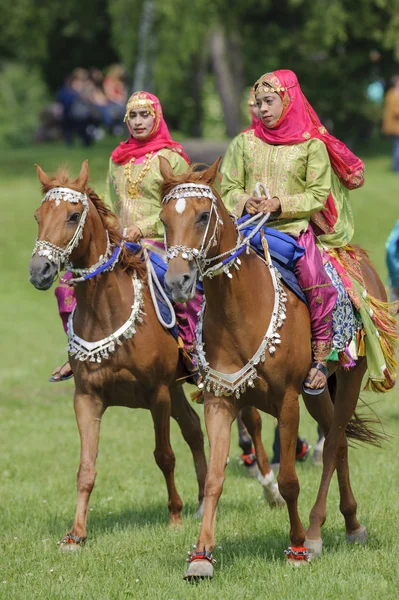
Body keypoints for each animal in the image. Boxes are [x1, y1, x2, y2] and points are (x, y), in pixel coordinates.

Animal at [29, 162, 208, 552]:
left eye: (73, 215)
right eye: (38, 216)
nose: (39, 271)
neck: (107, 312)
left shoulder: (157, 395)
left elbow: (164, 456)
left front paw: (174, 517)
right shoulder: (87, 398)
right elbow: (86, 467)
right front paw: (76, 533)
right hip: (176, 389)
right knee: (193, 428)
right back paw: (204, 501)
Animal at [159, 157, 390, 580]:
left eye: (203, 216)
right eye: (165, 219)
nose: (177, 281)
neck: (240, 309)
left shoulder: (286, 400)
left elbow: (288, 481)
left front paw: (296, 545)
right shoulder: (220, 400)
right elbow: (214, 478)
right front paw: (201, 556)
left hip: (349, 379)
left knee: (333, 445)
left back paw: (316, 534)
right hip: (317, 392)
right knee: (340, 444)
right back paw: (351, 522)